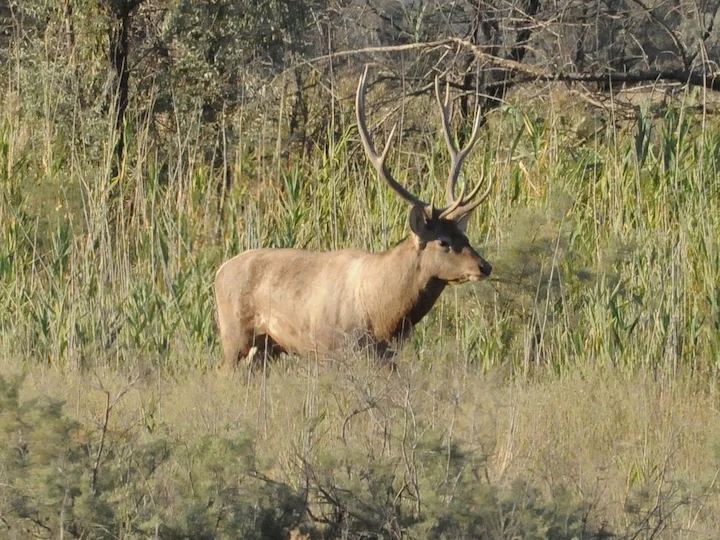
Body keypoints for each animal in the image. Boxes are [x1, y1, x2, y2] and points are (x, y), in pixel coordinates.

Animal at [214, 67, 494, 368]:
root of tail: (218, 271)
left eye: (465, 236)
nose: (484, 266)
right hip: (233, 337)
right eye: (442, 241)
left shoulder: (385, 355)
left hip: (265, 348)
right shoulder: (333, 347)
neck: (382, 314)